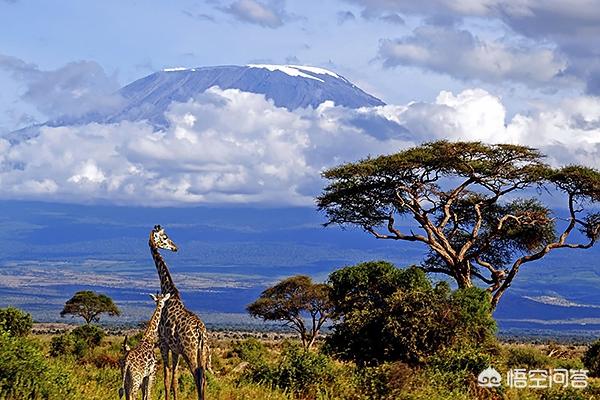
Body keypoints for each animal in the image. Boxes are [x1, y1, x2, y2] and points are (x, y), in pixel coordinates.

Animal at [150, 225, 211, 400]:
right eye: (164, 237)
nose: (175, 248)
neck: (170, 291)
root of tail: (200, 331)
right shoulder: (175, 349)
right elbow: (174, 380)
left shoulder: (163, 344)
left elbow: (166, 377)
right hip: (202, 351)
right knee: (204, 378)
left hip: (190, 351)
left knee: (198, 376)